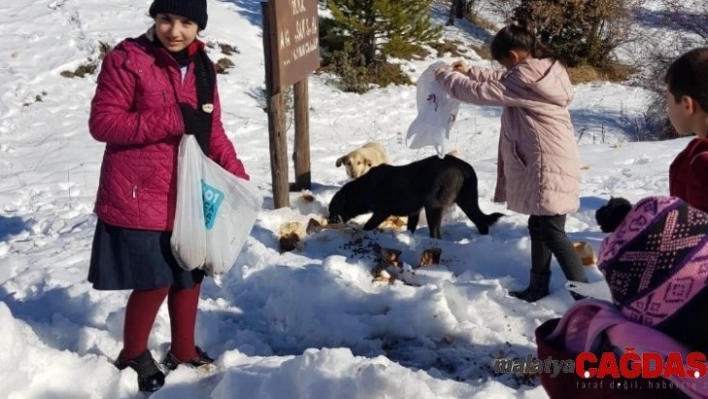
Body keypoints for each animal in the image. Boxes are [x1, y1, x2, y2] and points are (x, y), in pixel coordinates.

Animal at [328, 155, 504, 239]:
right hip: (467, 200)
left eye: (332, 210)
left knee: (436, 233)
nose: (329, 221)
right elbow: (410, 228)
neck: (364, 188)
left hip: (433, 206)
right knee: (481, 222)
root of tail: (464, 168)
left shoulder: (382, 211)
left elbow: (368, 226)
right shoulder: (414, 212)